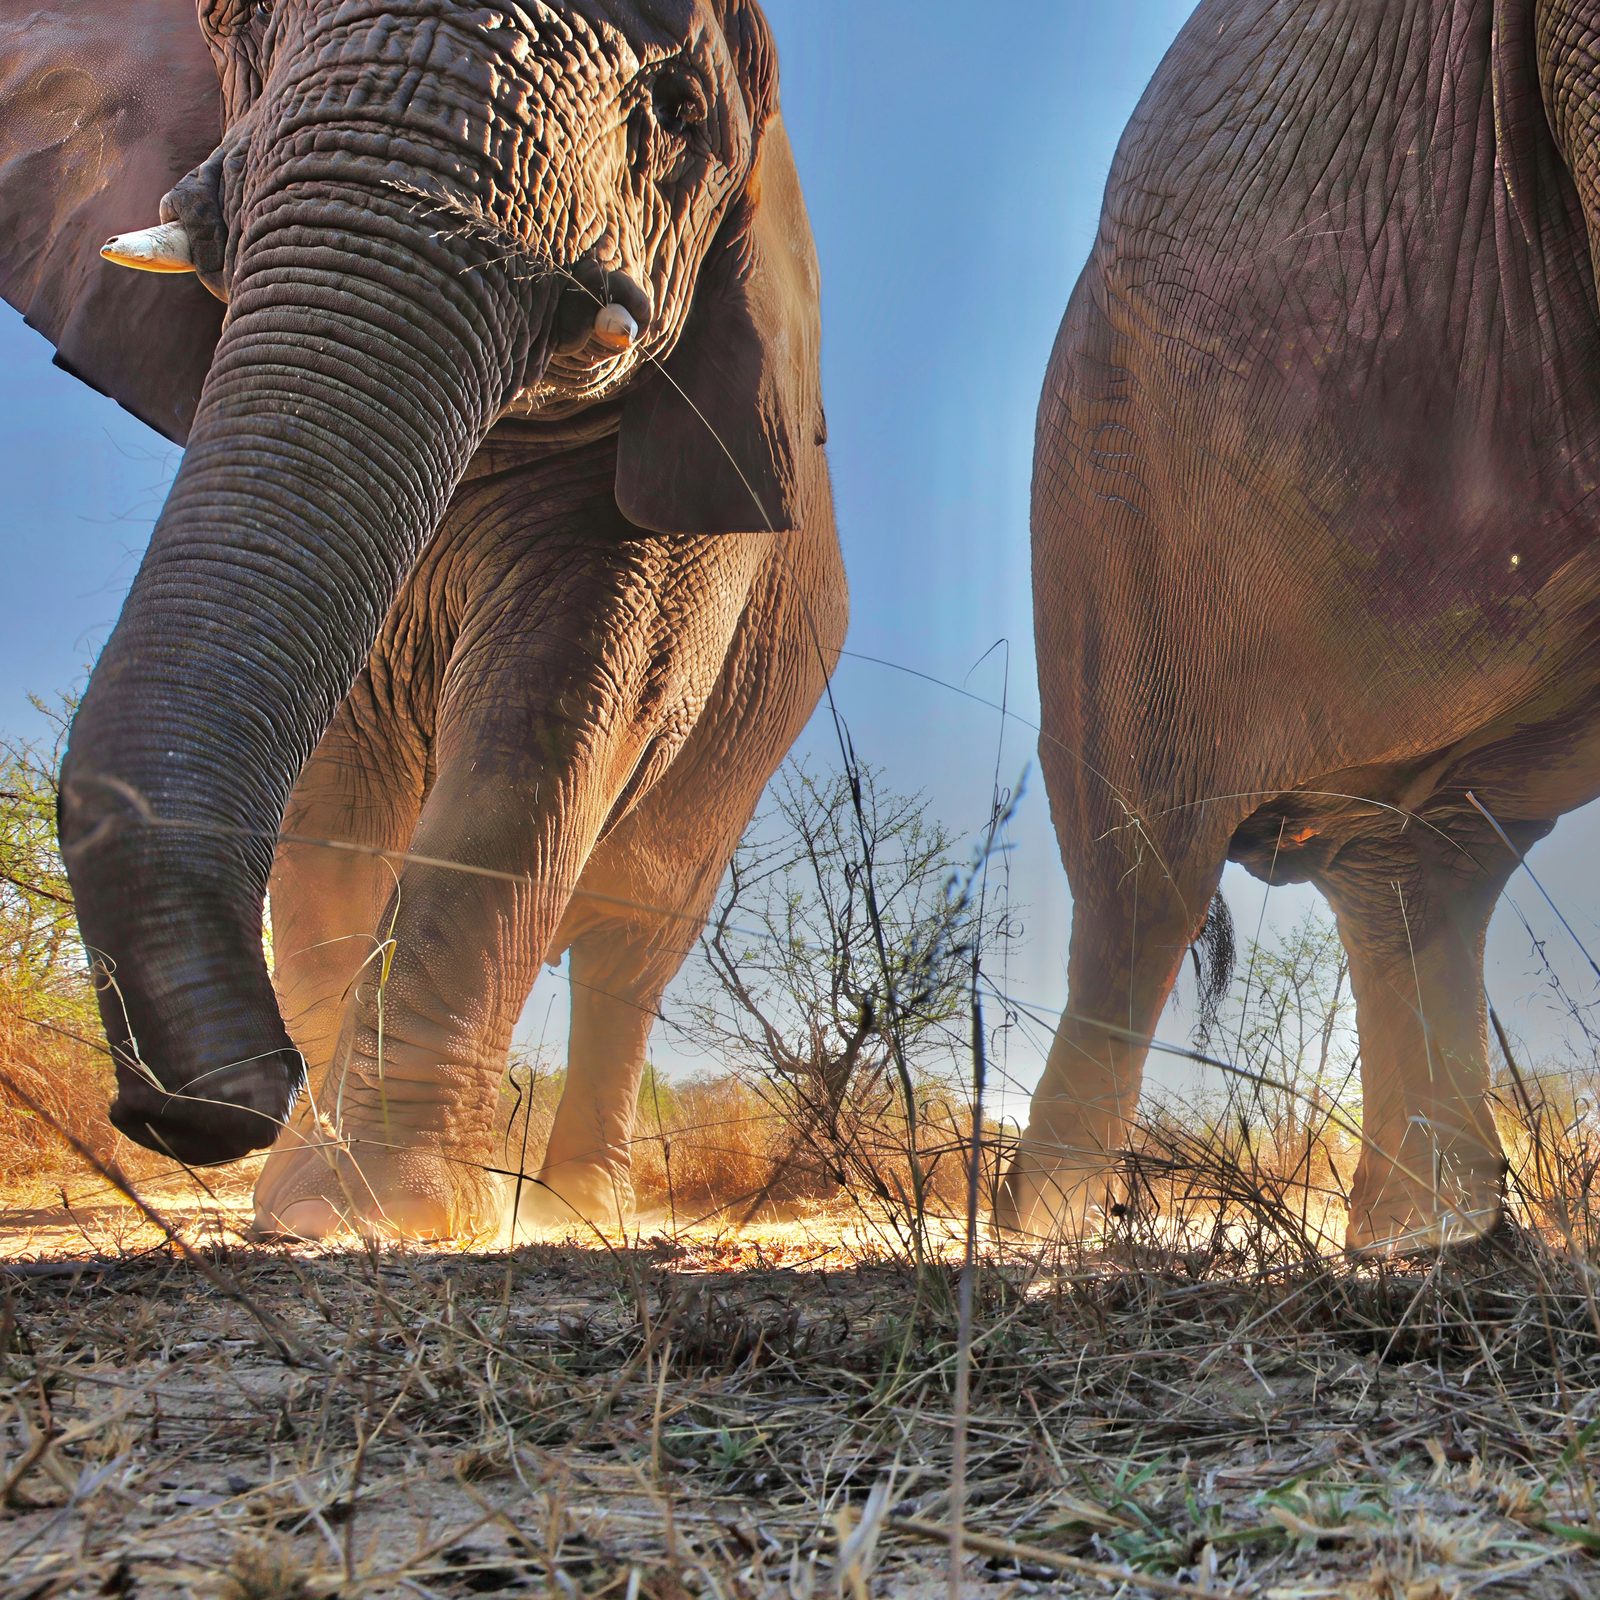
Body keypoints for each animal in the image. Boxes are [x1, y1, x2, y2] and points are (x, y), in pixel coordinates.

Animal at [0, 0, 845, 1240]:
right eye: (243, 25)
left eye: (679, 108)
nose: (191, 1114)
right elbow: (337, 799)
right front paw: (307, 1203)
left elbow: (535, 747)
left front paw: (389, 1212)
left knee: (629, 943)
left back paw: (578, 1211)